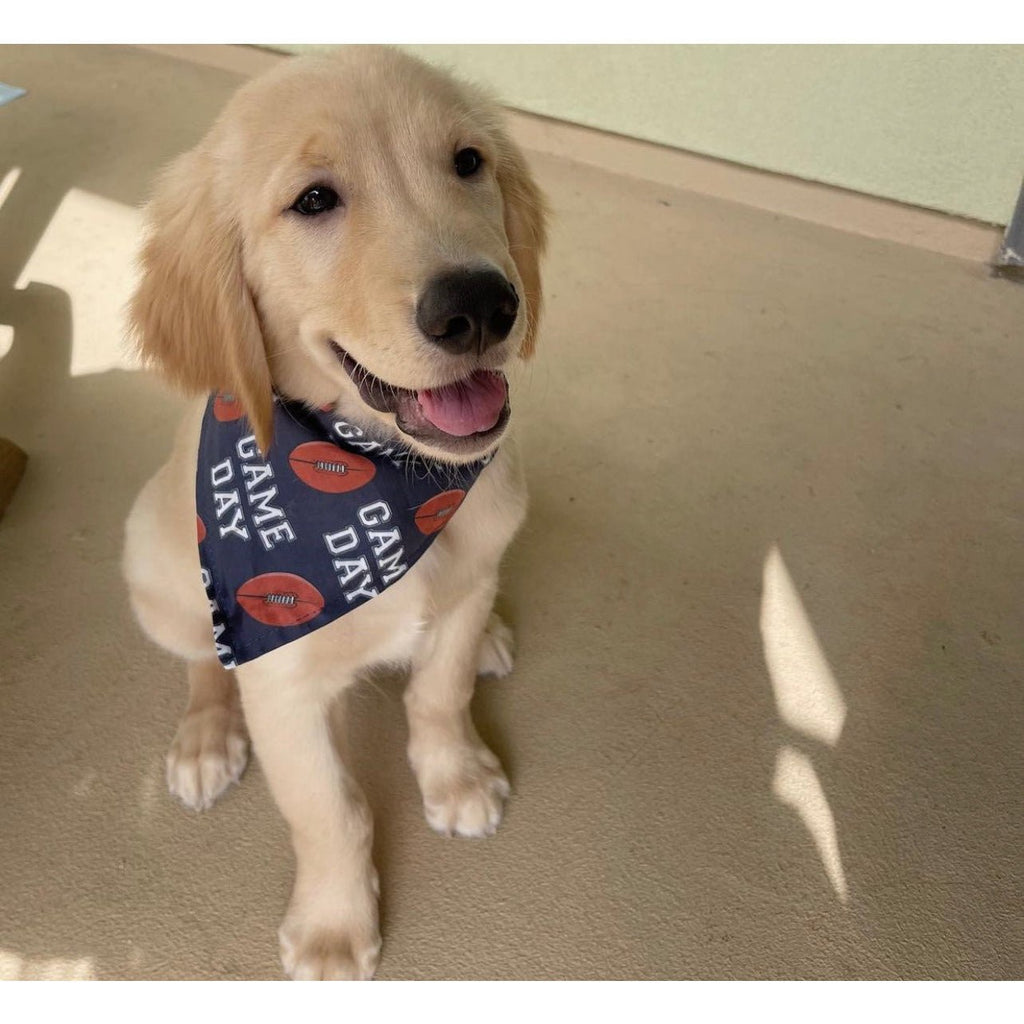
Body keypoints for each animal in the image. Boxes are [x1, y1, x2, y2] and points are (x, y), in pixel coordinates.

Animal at [121, 49, 544, 983]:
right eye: (314, 200)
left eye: (468, 162)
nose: (481, 307)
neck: (380, 479)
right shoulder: (282, 684)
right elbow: (329, 814)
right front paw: (332, 926)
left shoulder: (462, 582)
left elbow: (439, 694)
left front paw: (455, 777)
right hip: (155, 569)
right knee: (203, 660)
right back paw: (206, 737)